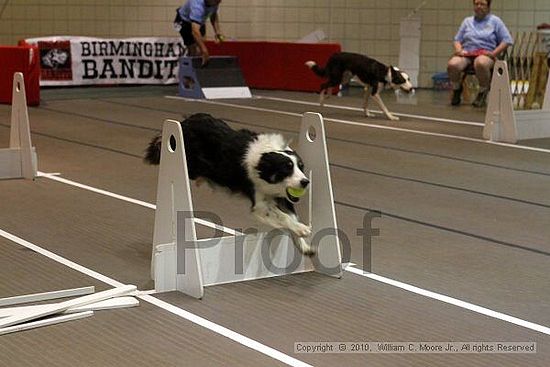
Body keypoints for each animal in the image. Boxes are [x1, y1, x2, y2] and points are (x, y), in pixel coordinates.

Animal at [144, 114, 314, 256]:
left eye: (301, 167)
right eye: (287, 169)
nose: (305, 182)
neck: (263, 160)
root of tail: (185, 121)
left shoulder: (284, 197)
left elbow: (291, 216)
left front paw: (304, 245)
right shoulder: (259, 204)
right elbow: (283, 216)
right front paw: (302, 229)